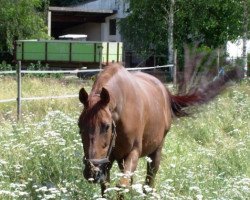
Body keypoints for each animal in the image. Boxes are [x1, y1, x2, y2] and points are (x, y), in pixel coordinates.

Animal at [78, 63, 240, 197]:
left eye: (106, 126)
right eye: (80, 126)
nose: (91, 172)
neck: (122, 108)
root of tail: (165, 91)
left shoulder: (133, 152)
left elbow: (122, 186)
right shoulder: (108, 160)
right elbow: (107, 187)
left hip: (156, 151)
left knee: (149, 183)